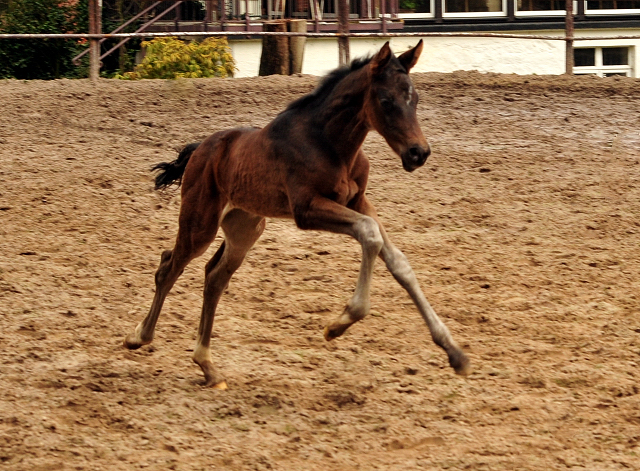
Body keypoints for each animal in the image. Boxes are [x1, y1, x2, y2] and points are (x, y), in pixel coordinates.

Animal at [125, 41, 472, 388]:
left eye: (415, 99)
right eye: (386, 101)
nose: (418, 153)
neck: (330, 144)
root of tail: (201, 148)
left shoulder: (359, 201)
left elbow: (399, 262)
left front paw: (455, 353)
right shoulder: (306, 209)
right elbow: (369, 233)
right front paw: (339, 324)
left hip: (245, 228)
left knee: (214, 277)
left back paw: (208, 366)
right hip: (200, 223)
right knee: (169, 266)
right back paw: (139, 336)